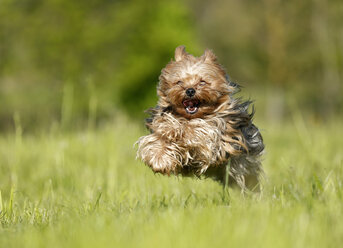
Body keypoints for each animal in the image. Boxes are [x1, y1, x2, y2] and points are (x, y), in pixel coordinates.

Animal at [136, 46, 264, 189]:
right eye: (179, 82)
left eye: (202, 82)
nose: (190, 90)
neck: (189, 117)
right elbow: (157, 140)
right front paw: (160, 157)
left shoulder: (215, 137)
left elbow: (201, 130)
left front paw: (179, 131)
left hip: (242, 166)